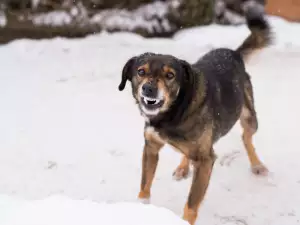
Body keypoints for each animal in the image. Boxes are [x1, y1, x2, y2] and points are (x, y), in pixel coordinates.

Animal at [117, 5, 272, 225]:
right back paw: (183, 167)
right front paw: (141, 208)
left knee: (247, 138)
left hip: (249, 117)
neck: (173, 114)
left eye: (170, 75)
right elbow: (145, 185)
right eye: (140, 71)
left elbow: (191, 204)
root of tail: (233, 54)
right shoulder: (151, 147)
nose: (148, 89)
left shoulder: (206, 160)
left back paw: (257, 165)